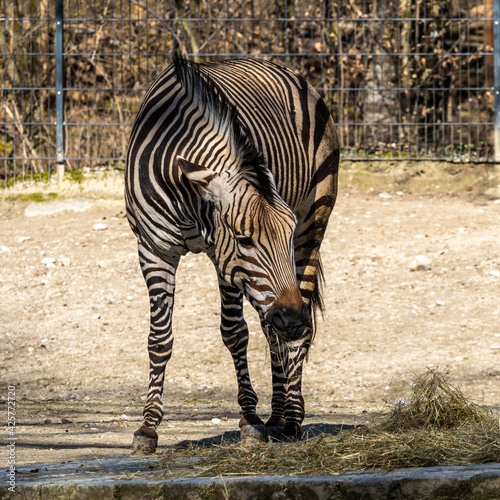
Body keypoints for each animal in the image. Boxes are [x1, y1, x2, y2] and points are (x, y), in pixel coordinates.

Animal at [124, 54, 340, 454]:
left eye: (286, 236)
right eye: (244, 239)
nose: (293, 320)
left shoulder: (223, 258)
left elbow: (235, 332)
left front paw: (250, 420)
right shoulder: (153, 249)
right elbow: (159, 339)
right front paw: (147, 427)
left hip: (314, 222)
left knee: (287, 320)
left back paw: (290, 418)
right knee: (272, 329)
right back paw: (278, 416)